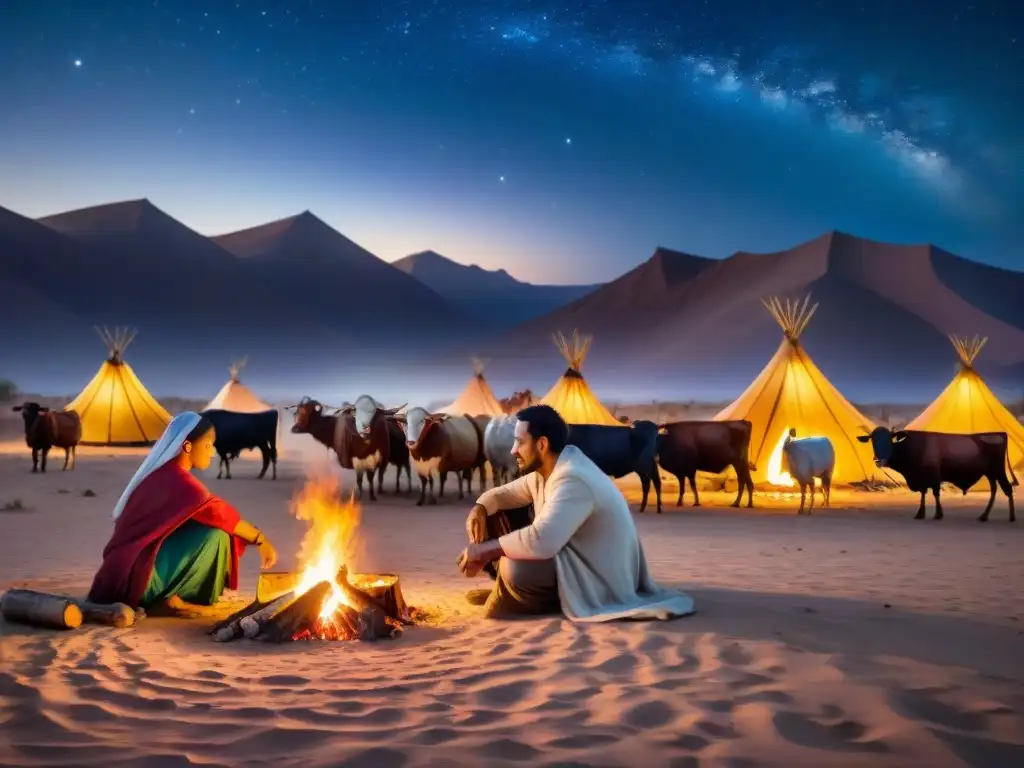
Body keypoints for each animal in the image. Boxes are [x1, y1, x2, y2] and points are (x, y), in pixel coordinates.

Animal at [856, 428, 1015, 524]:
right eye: (873, 440)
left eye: (889, 439)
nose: (880, 460)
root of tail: (1000, 433)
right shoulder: (922, 478)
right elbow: (923, 493)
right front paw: (921, 513)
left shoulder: (933, 476)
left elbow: (935, 493)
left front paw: (938, 514)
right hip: (991, 474)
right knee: (995, 490)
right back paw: (984, 516)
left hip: (998, 471)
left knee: (1007, 489)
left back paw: (1011, 517)